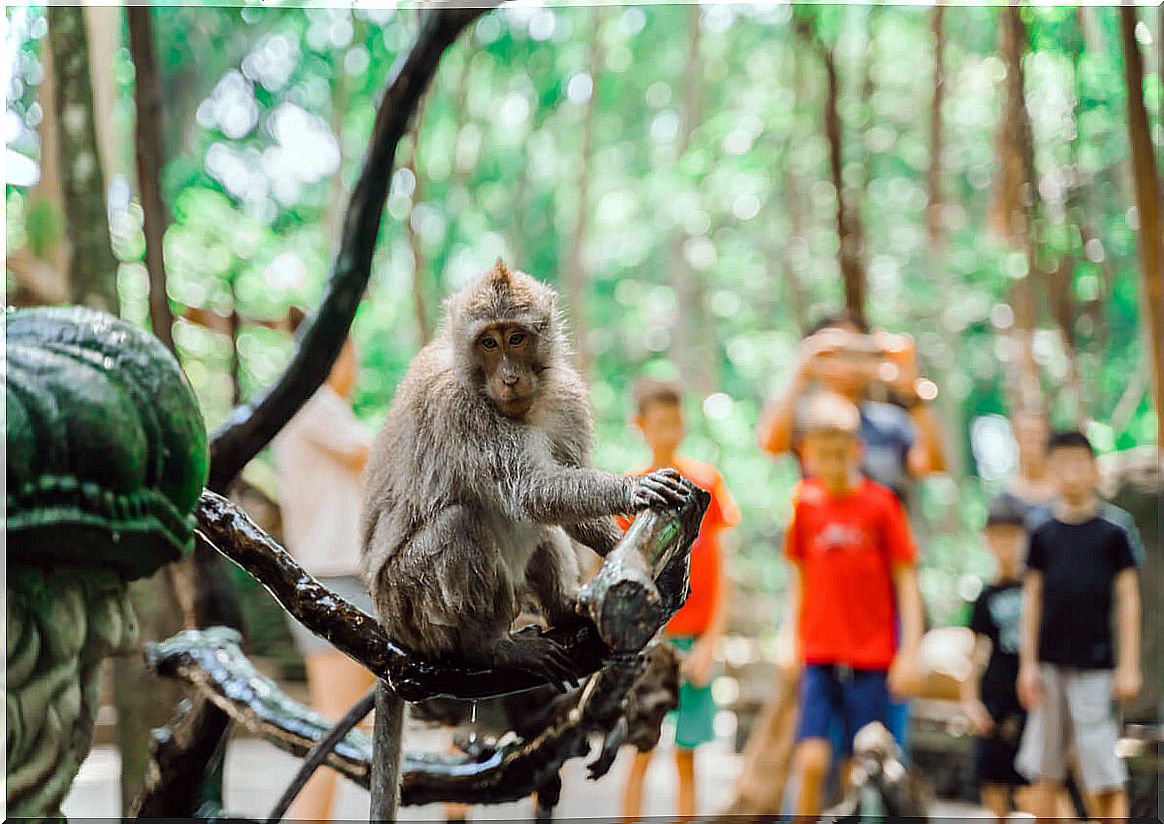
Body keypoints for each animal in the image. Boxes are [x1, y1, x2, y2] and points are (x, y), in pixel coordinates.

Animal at [360, 260, 689, 684]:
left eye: (516, 338)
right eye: (488, 343)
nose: (510, 378)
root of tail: (387, 626)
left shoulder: (568, 399)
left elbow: (566, 501)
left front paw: (622, 551)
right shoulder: (462, 409)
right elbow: (530, 490)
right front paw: (632, 488)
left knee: (542, 529)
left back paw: (564, 609)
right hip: (408, 609)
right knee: (460, 523)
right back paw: (488, 647)